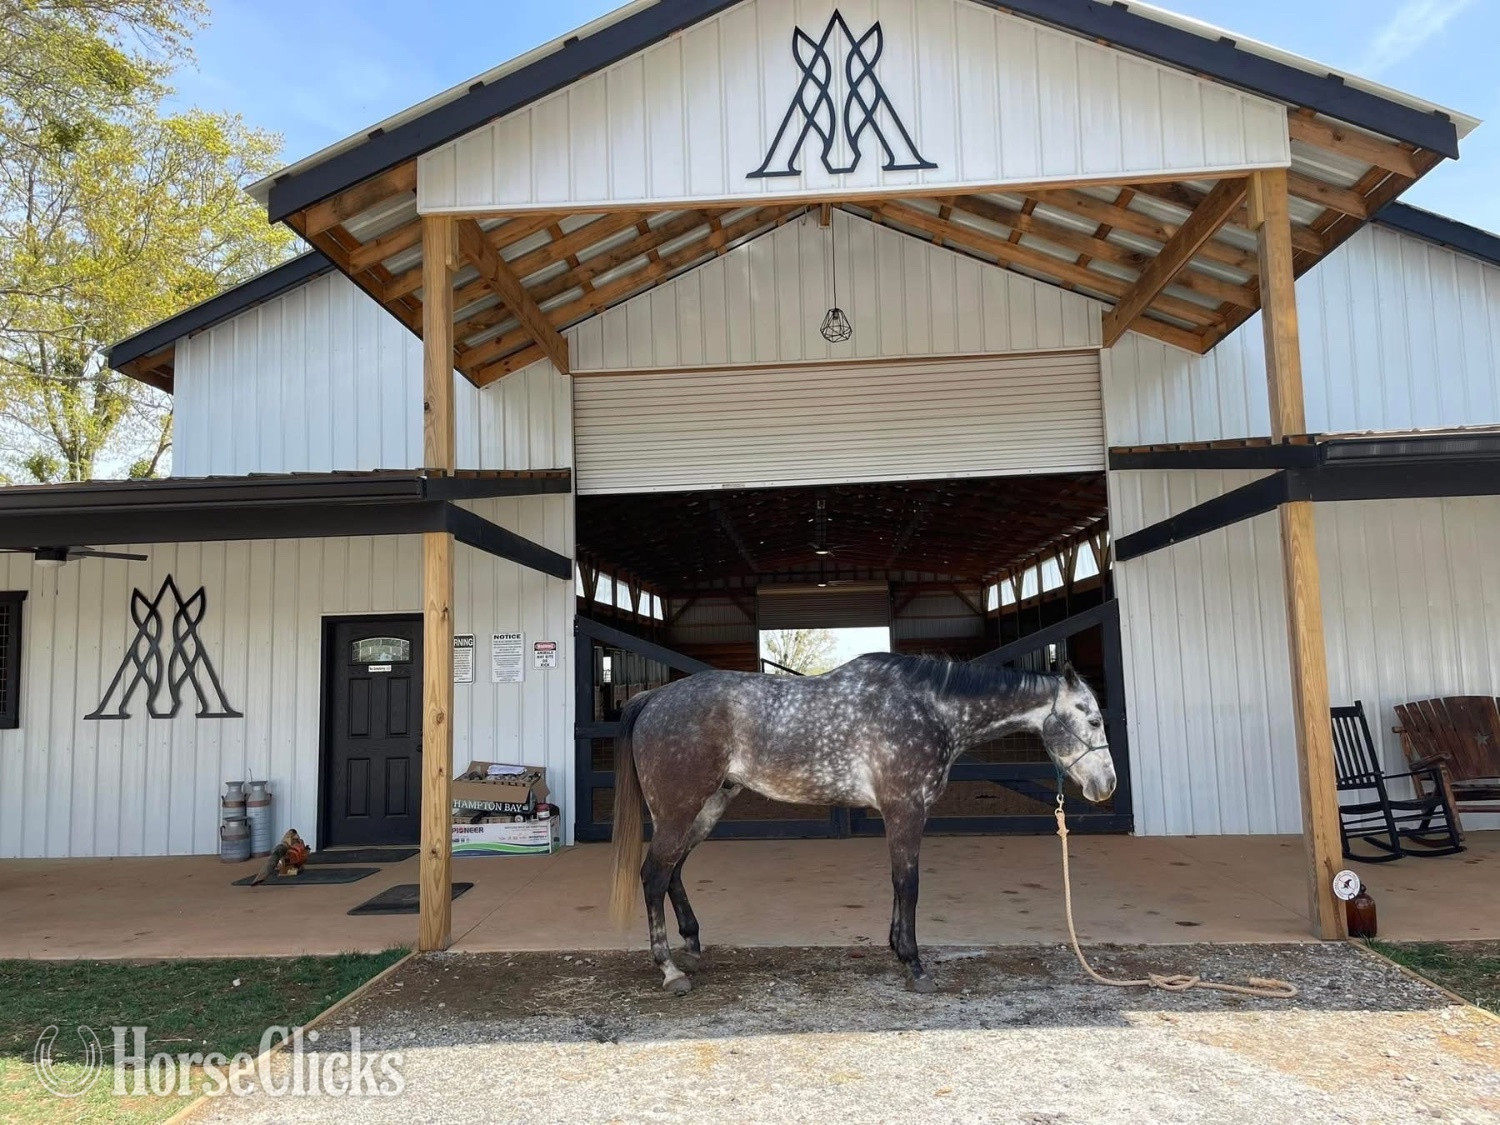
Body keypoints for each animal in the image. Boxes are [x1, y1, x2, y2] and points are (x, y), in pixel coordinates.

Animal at [609, 652, 1117, 994]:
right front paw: (914, 965)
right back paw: (670, 970)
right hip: (679, 811)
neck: (929, 707)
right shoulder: (906, 809)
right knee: (653, 875)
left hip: (706, 808)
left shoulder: (902, 813)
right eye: (1092, 720)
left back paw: (692, 949)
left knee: (673, 871)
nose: (1106, 785)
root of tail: (654, 697)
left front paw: (897, 949)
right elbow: (909, 884)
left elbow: (898, 884)